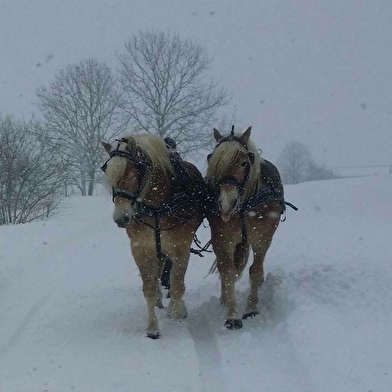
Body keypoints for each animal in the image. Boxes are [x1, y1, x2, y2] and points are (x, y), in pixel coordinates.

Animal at [101, 133, 205, 338]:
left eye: (132, 173)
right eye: (109, 174)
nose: (121, 218)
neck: (157, 207)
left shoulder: (180, 248)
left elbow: (177, 284)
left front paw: (177, 311)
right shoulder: (140, 248)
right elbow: (148, 286)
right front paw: (152, 328)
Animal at [207, 127, 292, 330]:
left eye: (244, 162)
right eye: (213, 161)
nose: (226, 204)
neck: (244, 205)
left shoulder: (263, 238)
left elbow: (255, 271)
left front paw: (251, 308)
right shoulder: (222, 238)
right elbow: (227, 272)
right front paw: (232, 314)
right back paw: (223, 299)